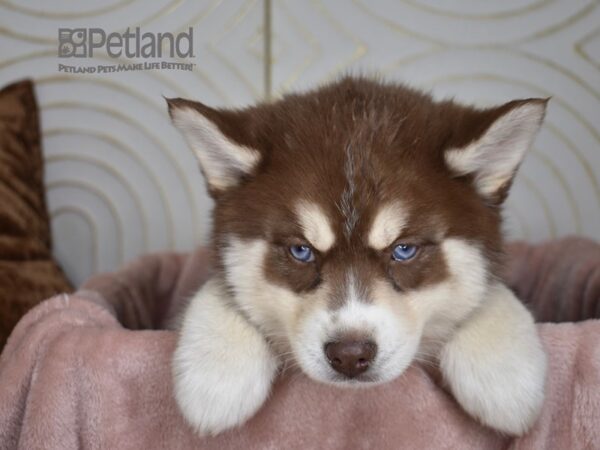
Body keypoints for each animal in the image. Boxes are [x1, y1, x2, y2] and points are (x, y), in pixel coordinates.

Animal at [166, 76, 548, 436]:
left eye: (404, 250)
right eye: (301, 251)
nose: (350, 356)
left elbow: (492, 293)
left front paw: (505, 372)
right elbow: (219, 288)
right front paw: (217, 373)